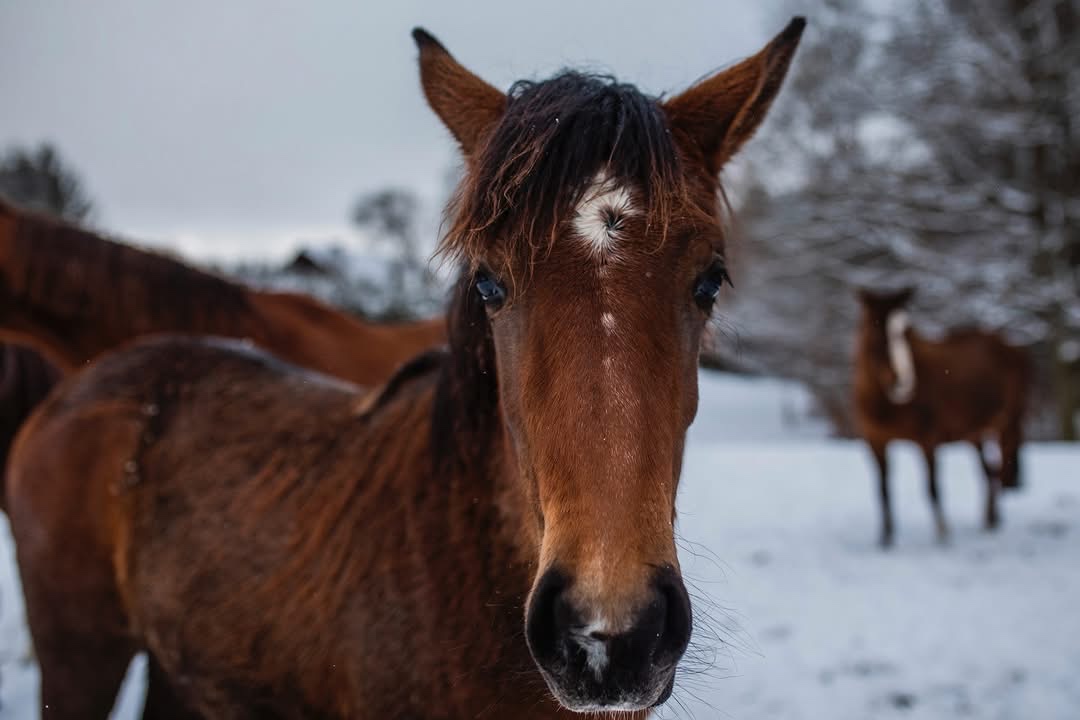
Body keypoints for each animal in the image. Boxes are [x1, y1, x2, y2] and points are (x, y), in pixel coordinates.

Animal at [851, 287, 1028, 546]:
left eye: (907, 333)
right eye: (875, 329)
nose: (902, 381)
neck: (887, 405)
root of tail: (1008, 344)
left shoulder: (929, 438)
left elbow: (933, 486)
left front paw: (943, 533)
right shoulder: (874, 441)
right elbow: (882, 488)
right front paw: (886, 537)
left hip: (1008, 421)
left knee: (1003, 464)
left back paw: (993, 518)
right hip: (974, 431)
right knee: (989, 471)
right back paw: (989, 519)